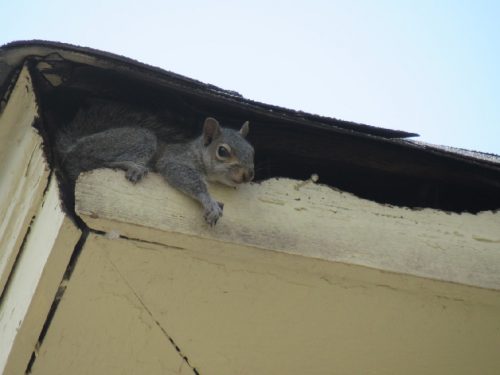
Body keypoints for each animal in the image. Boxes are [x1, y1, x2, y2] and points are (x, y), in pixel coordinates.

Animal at [56, 100, 256, 228]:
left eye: (252, 151)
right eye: (222, 151)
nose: (248, 175)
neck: (197, 153)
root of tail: (73, 145)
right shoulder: (173, 159)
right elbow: (184, 175)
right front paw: (209, 201)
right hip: (136, 139)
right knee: (93, 160)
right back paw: (131, 166)